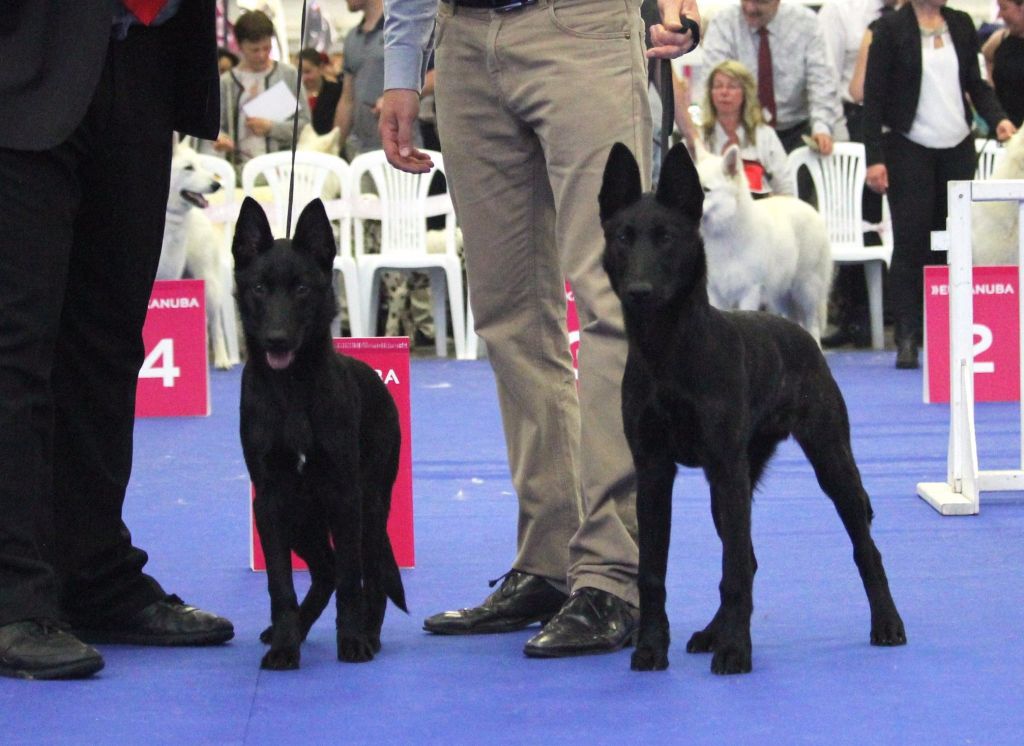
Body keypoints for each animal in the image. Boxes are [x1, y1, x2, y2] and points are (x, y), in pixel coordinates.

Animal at [234, 193, 405, 671]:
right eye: (259, 289)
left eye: (302, 290)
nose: (276, 340)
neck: (291, 390)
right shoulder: (270, 501)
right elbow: (280, 584)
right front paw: (284, 647)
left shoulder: (344, 496)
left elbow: (351, 580)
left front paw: (352, 641)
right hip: (300, 518)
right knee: (324, 570)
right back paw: (292, 631)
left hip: (370, 506)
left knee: (366, 576)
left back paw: (369, 634)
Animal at [598, 144, 905, 675]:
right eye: (622, 238)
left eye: (667, 238)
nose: (638, 291)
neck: (668, 352)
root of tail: (800, 334)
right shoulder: (655, 471)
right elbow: (653, 571)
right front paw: (652, 648)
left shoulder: (725, 468)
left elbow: (734, 569)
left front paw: (737, 651)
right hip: (732, 484)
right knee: (750, 555)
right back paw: (711, 632)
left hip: (829, 461)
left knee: (864, 549)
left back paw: (886, 623)